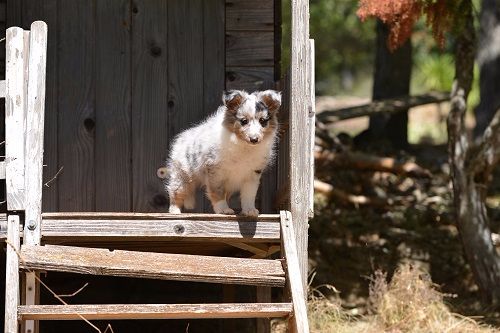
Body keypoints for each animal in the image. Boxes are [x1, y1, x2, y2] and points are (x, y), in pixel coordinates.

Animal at [165, 89, 280, 217]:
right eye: (244, 121)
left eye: (262, 121)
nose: (254, 139)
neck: (244, 146)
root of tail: (182, 139)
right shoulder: (215, 172)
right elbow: (218, 193)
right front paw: (223, 210)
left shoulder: (252, 175)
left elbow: (249, 195)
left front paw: (249, 210)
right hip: (182, 177)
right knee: (175, 194)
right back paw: (174, 212)